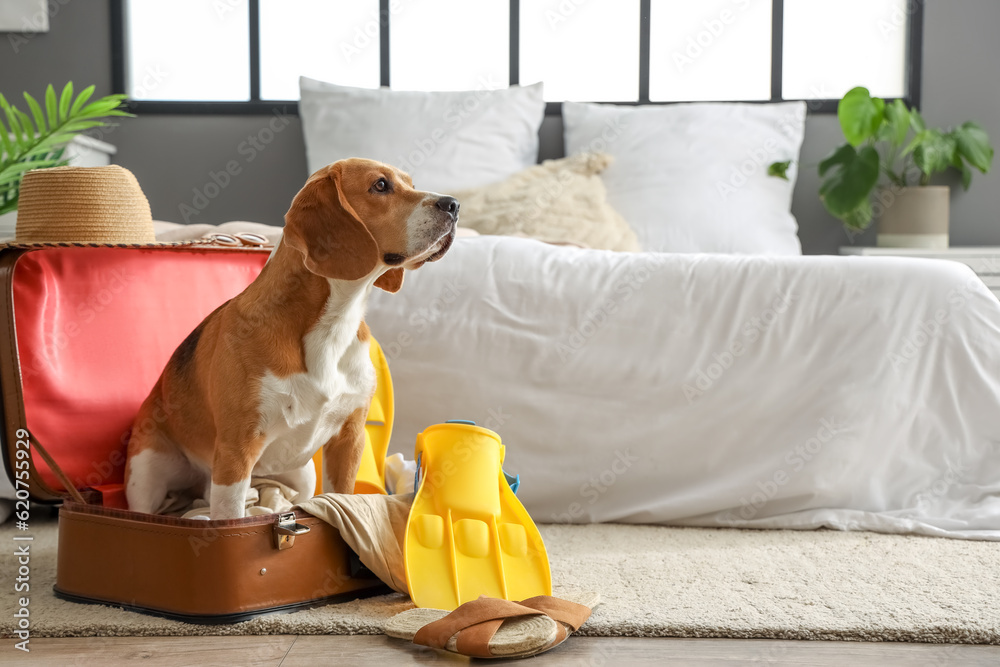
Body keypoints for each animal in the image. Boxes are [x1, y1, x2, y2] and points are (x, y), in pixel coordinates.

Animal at [122, 158, 460, 520]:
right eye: (380, 185)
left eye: (411, 184)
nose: (454, 205)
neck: (334, 322)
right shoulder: (236, 450)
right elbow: (230, 516)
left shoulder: (349, 438)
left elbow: (339, 496)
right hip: (147, 472)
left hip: (304, 473)